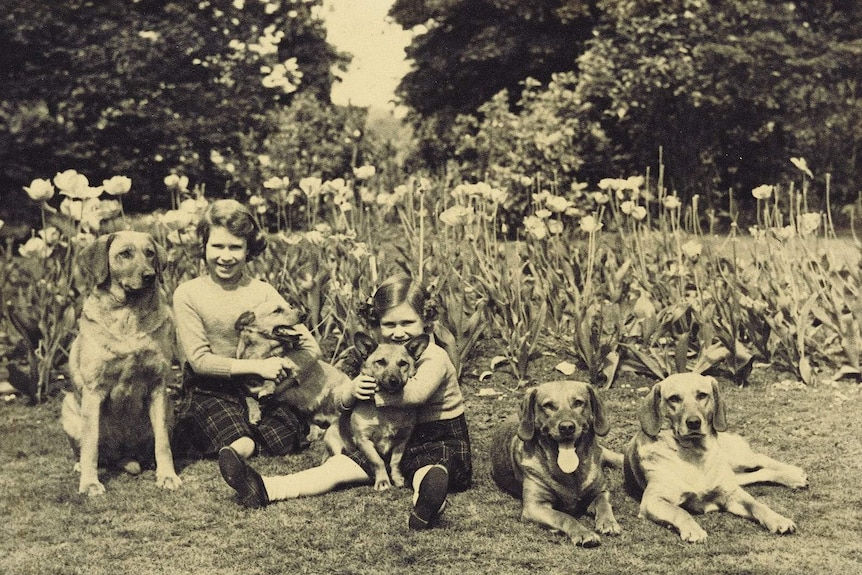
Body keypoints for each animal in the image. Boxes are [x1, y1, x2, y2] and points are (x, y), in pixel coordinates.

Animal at [61, 232, 183, 498]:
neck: (129, 313)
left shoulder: (158, 386)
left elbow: (163, 443)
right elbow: (90, 446)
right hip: (68, 409)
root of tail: (124, 456)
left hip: (170, 408)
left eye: (150, 253)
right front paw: (90, 482)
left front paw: (167, 475)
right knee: (87, 449)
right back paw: (81, 467)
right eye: (125, 254)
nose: (149, 276)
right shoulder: (93, 391)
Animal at [492, 382, 620, 548]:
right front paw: (583, 532)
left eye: (578, 403)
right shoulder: (535, 506)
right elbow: (564, 516)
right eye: (548, 405)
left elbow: (604, 504)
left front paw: (608, 522)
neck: (572, 473)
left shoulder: (601, 491)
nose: (566, 427)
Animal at [624, 374, 812, 544]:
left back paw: (793, 473)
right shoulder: (652, 500)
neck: (694, 454)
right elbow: (680, 511)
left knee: (760, 458)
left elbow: (756, 504)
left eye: (702, 395)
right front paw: (693, 529)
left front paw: (777, 519)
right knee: (758, 473)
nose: (694, 422)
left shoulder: (731, 494)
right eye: (674, 398)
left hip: (735, 458)